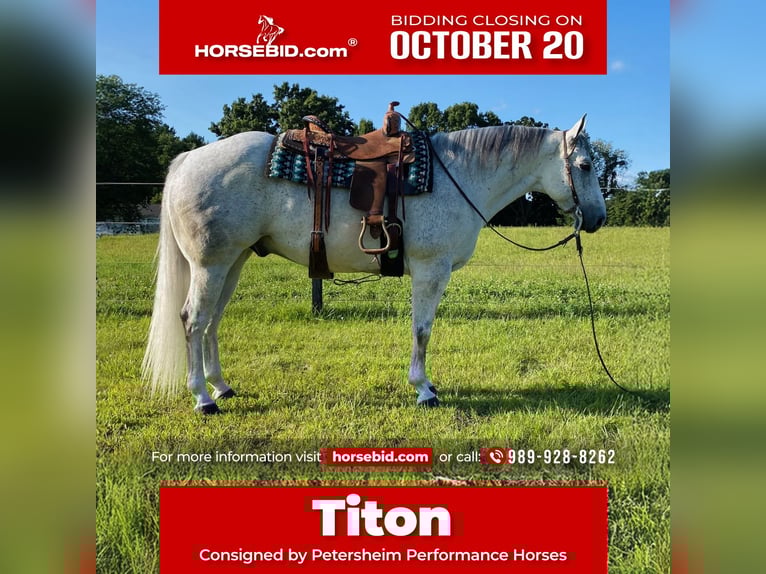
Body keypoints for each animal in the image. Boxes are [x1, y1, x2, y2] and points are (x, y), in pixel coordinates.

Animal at [142, 115, 607, 414]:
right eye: (584, 165)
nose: (598, 219)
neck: (460, 176)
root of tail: (188, 159)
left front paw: (425, 385)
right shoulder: (431, 270)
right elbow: (422, 330)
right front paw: (424, 390)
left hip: (233, 261)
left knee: (212, 322)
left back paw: (221, 387)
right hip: (211, 263)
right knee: (193, 320)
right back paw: (203, 399)